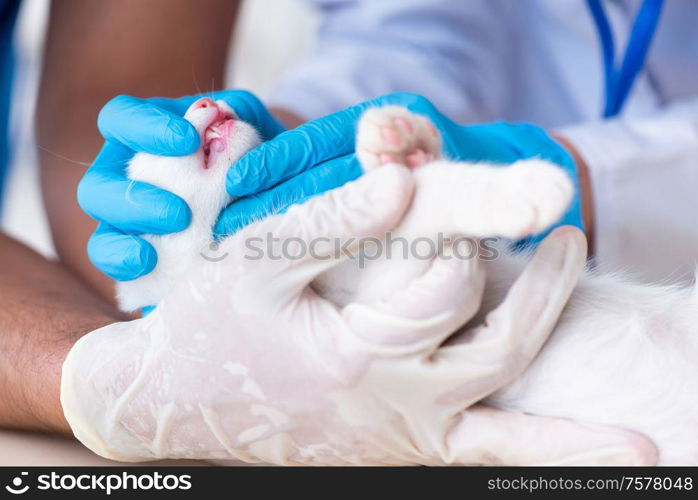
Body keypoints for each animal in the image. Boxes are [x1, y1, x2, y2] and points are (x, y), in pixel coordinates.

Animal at [122, 100, 692, 464]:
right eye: (148, 164)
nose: (205, 98)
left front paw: (407, 144)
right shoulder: (387, 304)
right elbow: (424, 213)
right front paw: (526, 189)